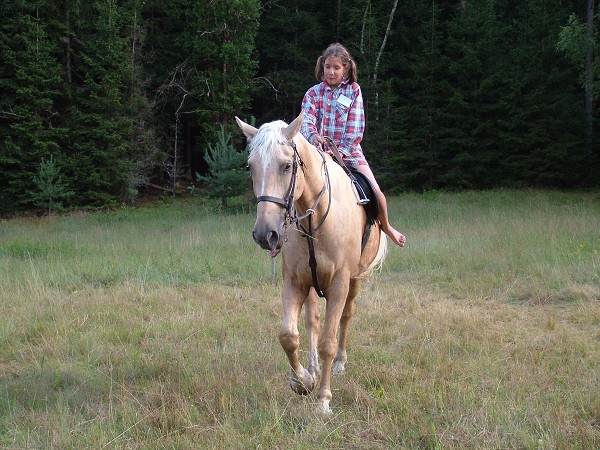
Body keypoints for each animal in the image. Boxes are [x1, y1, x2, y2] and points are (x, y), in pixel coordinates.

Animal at [237, 111, 386, 412]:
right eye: (251, 167)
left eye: (286, 166)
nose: (265, 234)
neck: (316, 218)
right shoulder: (295, 283)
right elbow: (288, 335)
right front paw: (303, 381)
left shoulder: (339, 284)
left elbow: (328, 341)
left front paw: (323, 400)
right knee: (313, 321)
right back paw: (313, 368)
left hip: (355, 280)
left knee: (346, 317)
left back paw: (339, 363)